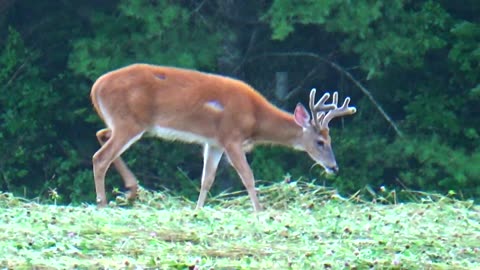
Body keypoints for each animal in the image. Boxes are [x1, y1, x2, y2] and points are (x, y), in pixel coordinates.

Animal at [91, 63, 356, 211]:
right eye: (321, 142)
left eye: (330, 140)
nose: (334, 167)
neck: (255, 117)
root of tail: (96, 88)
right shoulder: (231, 137)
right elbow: (248, 176)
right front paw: (260, 210)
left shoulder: (213, 142)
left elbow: (207, 179)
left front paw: (197, 209)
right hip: (129, 122)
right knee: (100, 157)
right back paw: (103, 202)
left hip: (126, 123)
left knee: (101, 133)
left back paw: (131, 189)